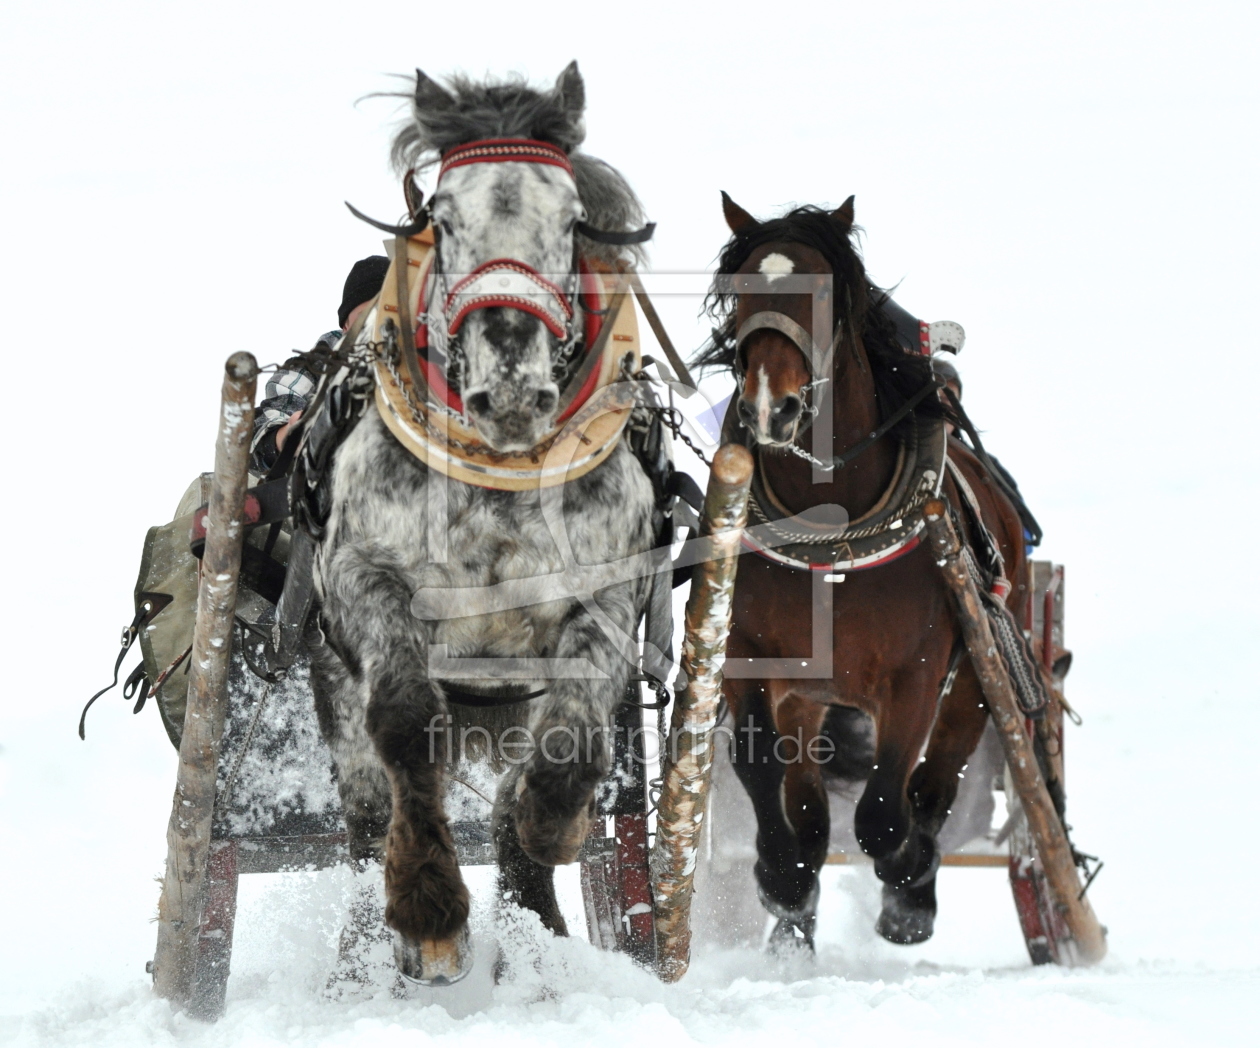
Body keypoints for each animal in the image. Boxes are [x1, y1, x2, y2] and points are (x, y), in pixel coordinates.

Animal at [700, 192, 1033, 947]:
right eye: (739, 294)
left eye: (825, 297)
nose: (770, 408)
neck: (833, 534)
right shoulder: (752, 659)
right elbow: (760, 768)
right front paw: (782, 881)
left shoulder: (916, 678)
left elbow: (884, 813)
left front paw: (909, 878)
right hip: (810, 700)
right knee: (814, 810)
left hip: (979, 676)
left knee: (934, 785)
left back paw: (916, 886)